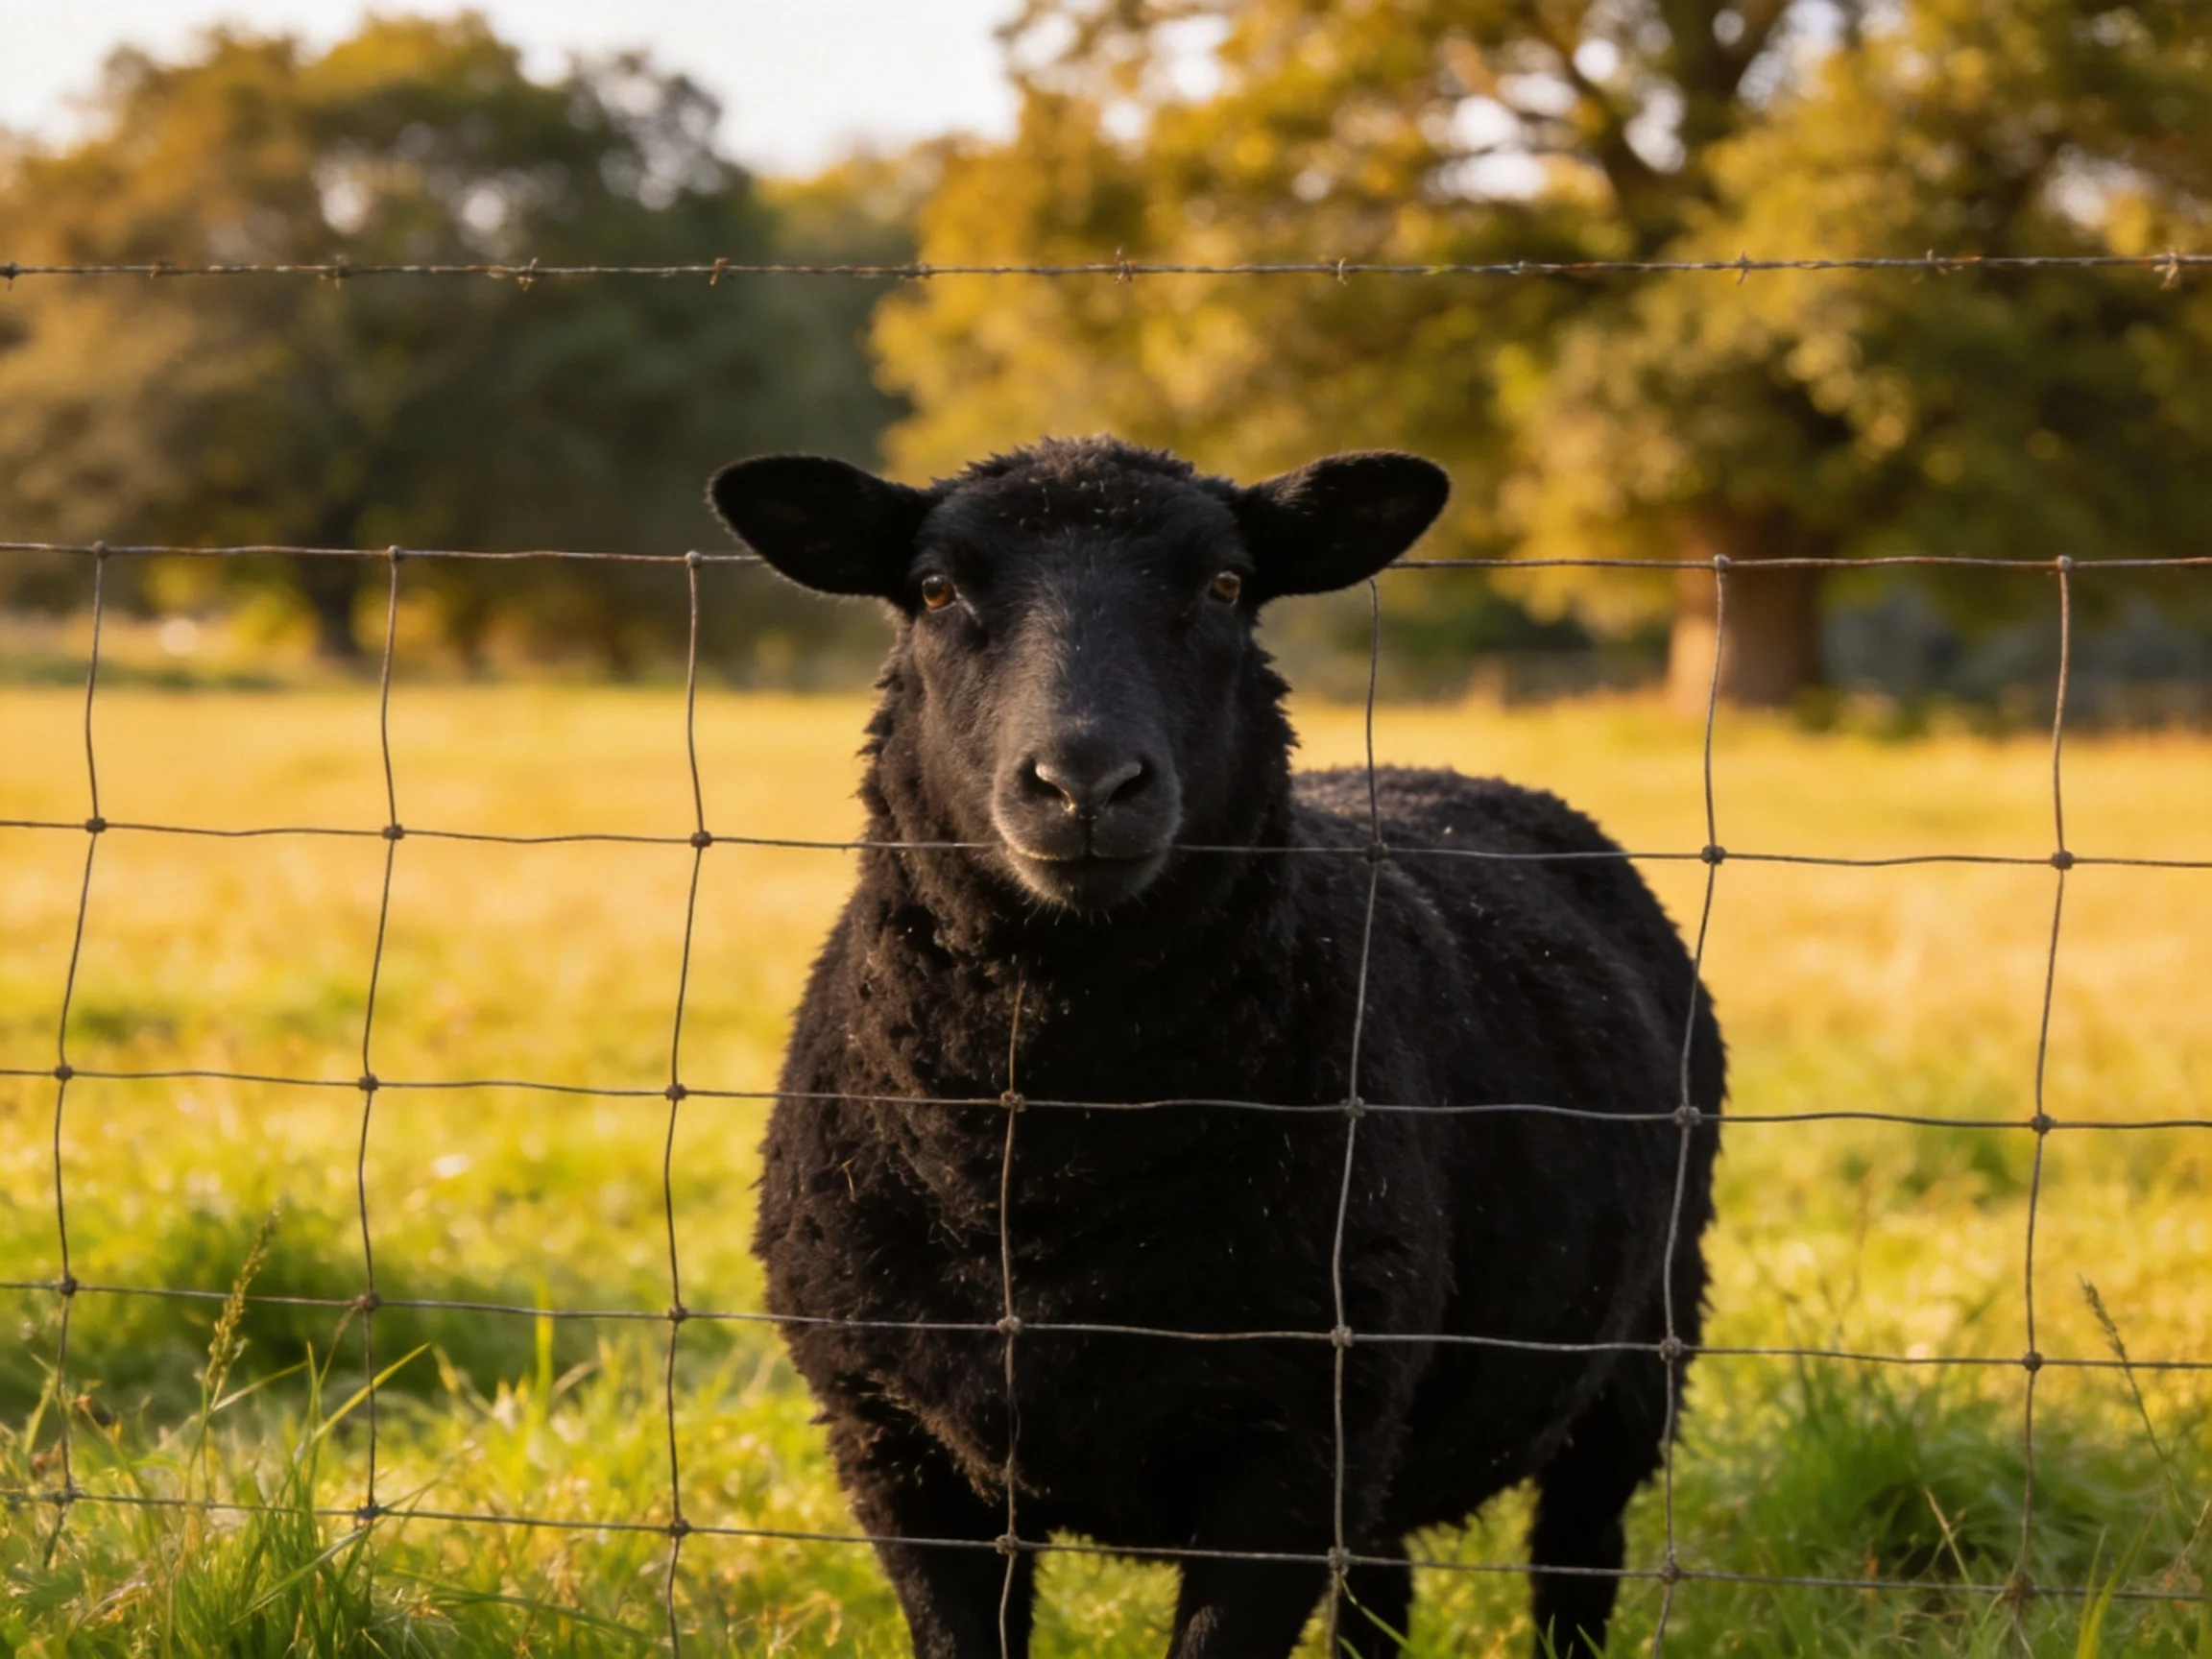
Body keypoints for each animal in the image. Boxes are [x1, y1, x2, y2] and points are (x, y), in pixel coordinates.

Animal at [709, 436, 1724, 1659]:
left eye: (1228, 585)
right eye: (937, 589)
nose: (1084, 783)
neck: (1056, 1157)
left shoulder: (1291, 1448)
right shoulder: (895, 1444)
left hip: (1639, 1355)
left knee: (1575, 1562)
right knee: (1379, 1581)